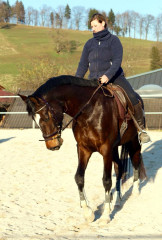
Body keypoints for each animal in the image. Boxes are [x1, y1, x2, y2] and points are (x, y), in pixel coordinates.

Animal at [19, 75, 146, 223]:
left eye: (46, 116)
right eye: (35, 119)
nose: (52, 145)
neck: (89, 111)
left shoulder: (106, 149)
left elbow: (106, 180)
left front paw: (105, 216)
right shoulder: (83, 149)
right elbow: (79, 177)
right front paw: (88, 212)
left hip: (133, 141)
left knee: (136, 160)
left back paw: (135, 191)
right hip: (114, 149)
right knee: (119, 167)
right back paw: (117, 201)